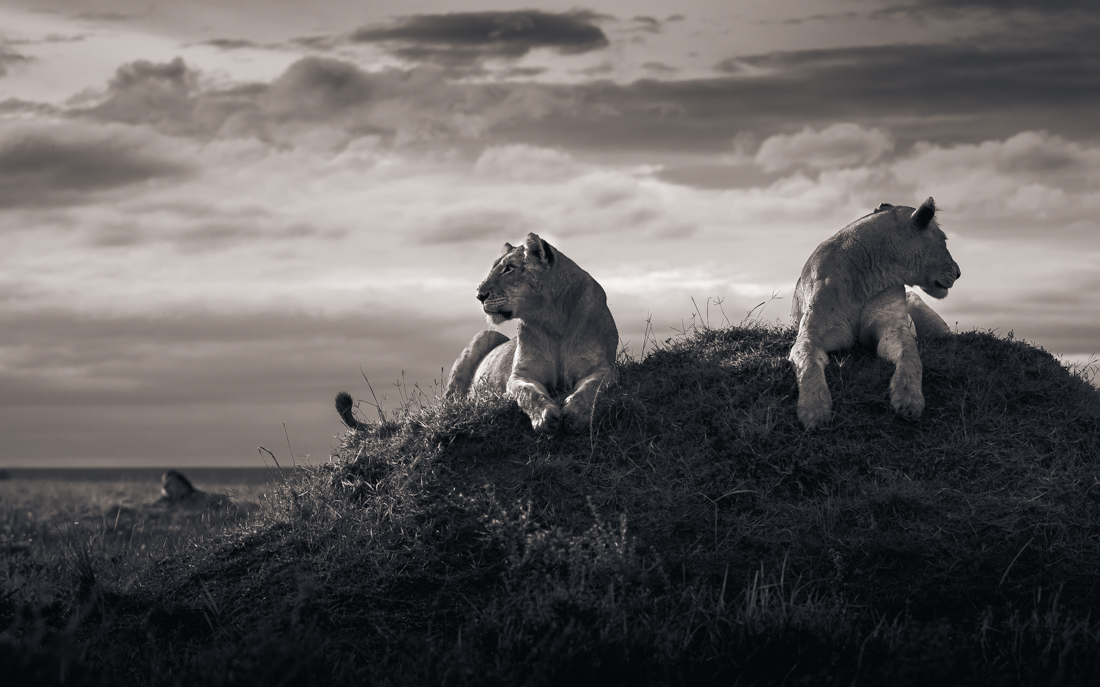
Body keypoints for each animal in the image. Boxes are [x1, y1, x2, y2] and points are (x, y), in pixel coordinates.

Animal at [792, 195, 963, 426]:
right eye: (944, 239)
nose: (959, 272)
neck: (868, 277)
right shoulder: (810, 336)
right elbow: (808, 364)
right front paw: (814, 410)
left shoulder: (893, 329)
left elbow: (911, 356)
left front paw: (908, 398)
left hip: (919, 305)